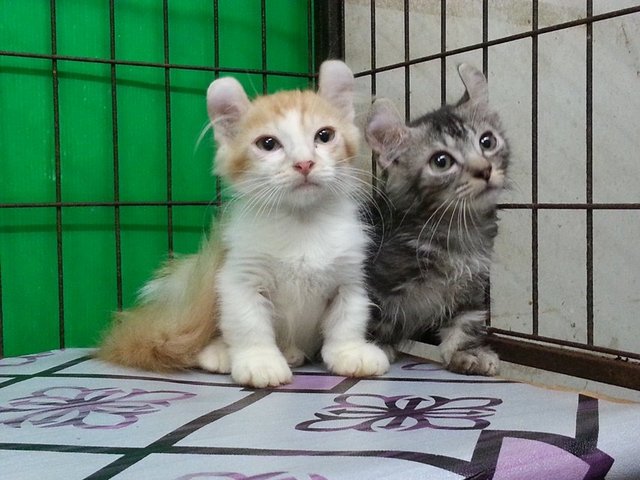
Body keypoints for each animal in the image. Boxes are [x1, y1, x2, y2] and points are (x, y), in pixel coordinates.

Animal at [99, 60, 390, 388]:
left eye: (324, 135)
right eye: (268, 144)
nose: (304, 163)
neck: (301, 222)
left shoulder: (349, 278)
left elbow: (348, 320)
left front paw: (350, 352)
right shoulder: (240, 277)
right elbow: (249, 324)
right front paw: (259, 361)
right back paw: (222, 352)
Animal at [364, 64, 510, 378]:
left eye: (487, 141)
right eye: (441, 161)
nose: (485, 169)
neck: (455, 230)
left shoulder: (473, 283)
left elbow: (467, 319)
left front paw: (467, 352)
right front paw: (369, 347)